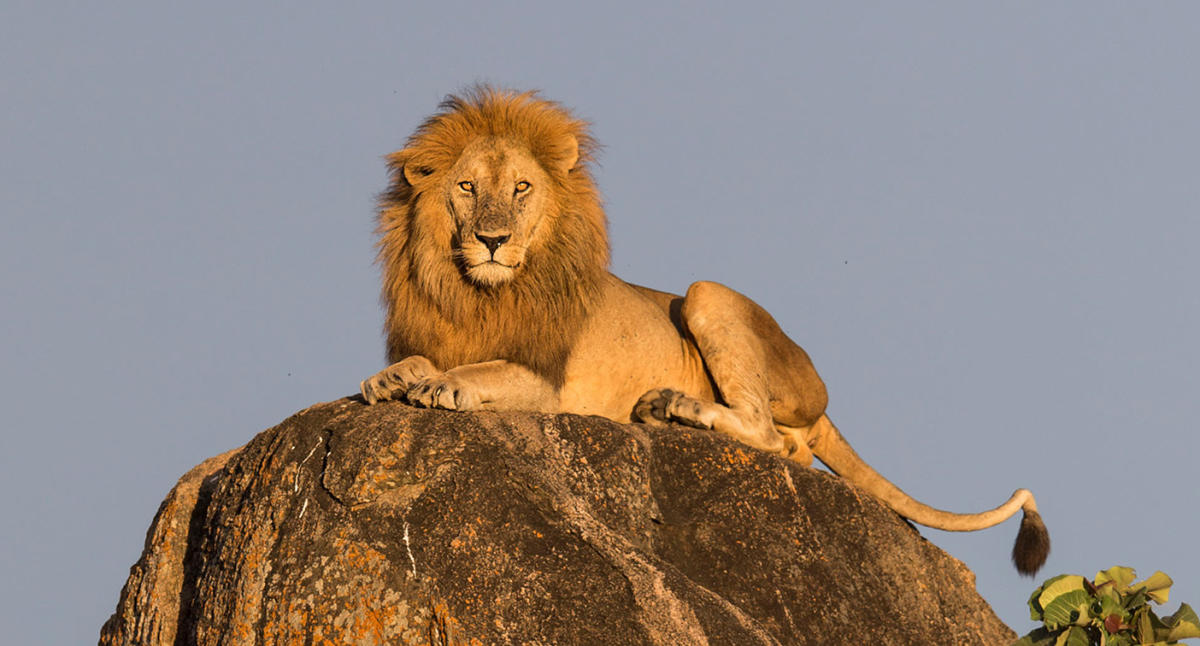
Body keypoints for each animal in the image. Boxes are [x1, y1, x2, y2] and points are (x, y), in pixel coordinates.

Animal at [357, 86, 1051, 573]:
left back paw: (674, 407)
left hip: (706, 294)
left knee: (765, 432)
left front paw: (443, 387)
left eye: (522, 188)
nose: (493, 240)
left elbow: (482, 370)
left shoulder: (548, 384)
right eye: (467, 187)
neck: (478, 295)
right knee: (788, 447)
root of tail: (821, 399)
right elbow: (415, 363)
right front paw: (390, 380)